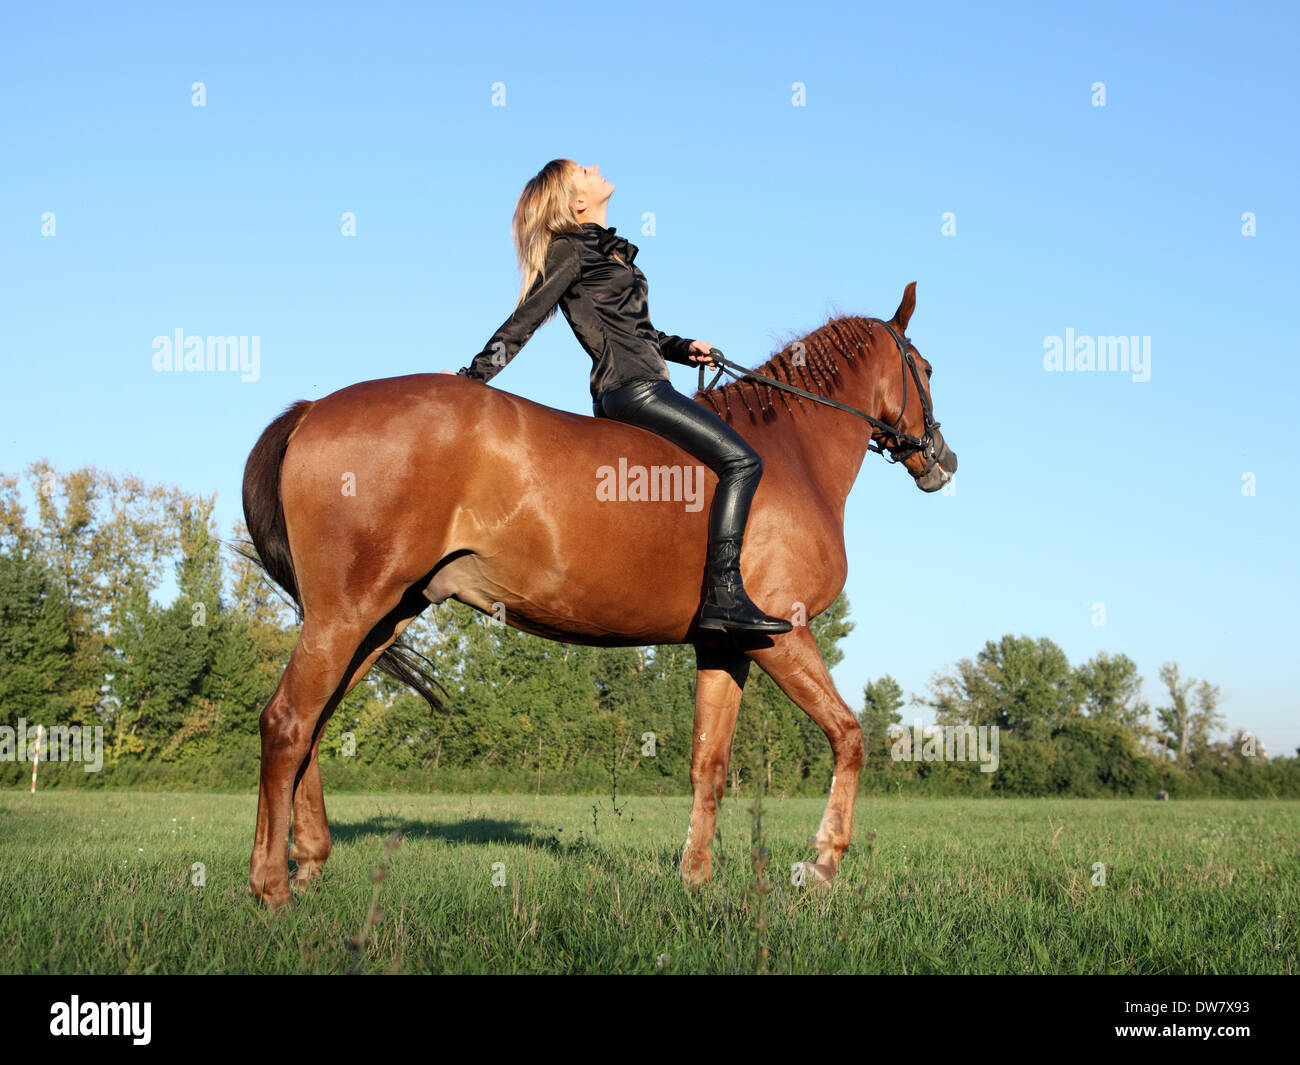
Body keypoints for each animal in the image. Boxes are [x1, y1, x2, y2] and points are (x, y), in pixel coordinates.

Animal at [241, 283, 956, 910]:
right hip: (347, 614)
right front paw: (823, 864)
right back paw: (272, 886)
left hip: (379, 619)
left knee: (314, 728)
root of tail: (314, 410)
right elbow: (848, 736)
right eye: (924, 367)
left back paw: (309, 861)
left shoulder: (727, 646)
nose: (941, 461)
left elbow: (710, 765)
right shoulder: (783, 635)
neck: (790, 456)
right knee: (288, 722)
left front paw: (696, 877)